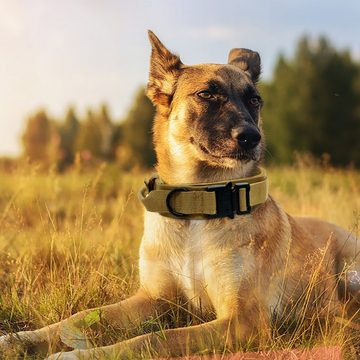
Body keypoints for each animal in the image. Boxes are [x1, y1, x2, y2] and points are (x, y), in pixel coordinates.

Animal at [0, 31, 360, 360]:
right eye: (207, 94)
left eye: (254, 100)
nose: (251, 138)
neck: (198, 208)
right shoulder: (154, 298)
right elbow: (79, 318)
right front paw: (23, 340)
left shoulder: (242, 321)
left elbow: (153, 340)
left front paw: (79, 354)